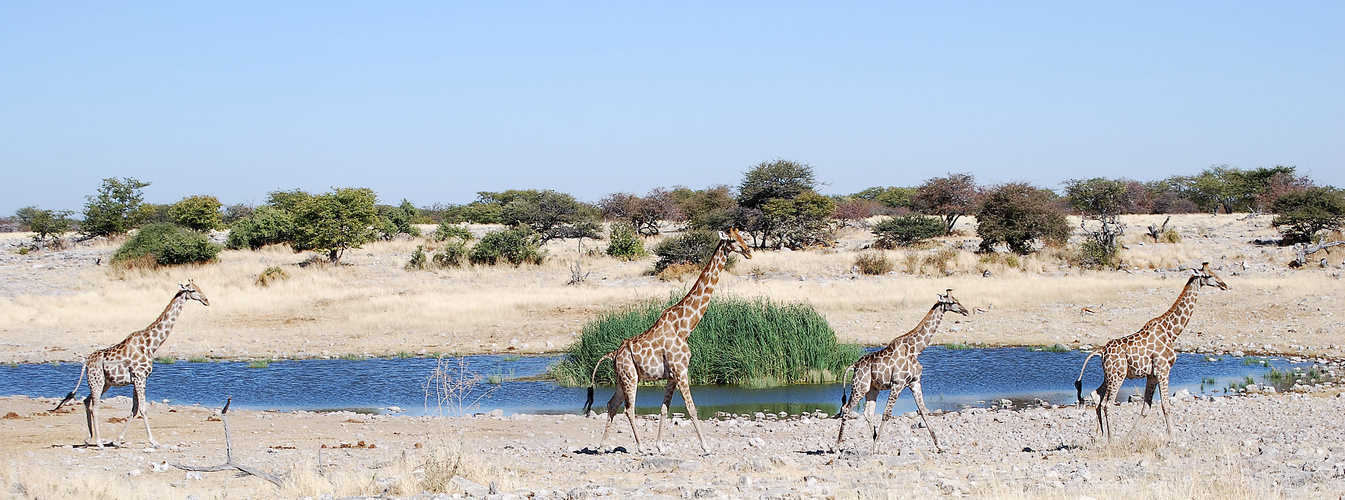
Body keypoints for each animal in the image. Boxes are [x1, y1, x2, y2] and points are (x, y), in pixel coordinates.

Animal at [54, 279, 209, 446]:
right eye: (192, 290)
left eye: (200, 287)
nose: (206, 300)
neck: (151, 344)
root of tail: (86, 363)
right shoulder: (140, 377)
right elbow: (143, 409)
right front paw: (153, 441)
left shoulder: (137, 379)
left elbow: (134, 409)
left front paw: (118, 440)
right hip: (97, 381)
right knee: (94, 407)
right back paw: (99, 442)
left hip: (104, 383)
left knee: (86, 401)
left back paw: (88, 438)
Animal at [581, 229, 753, 454]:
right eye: (733, 240)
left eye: (743, 236)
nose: (749, 251)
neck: (685, 327)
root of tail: (613, 354)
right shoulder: (681, 371)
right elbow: (691, 408)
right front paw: (706, 446)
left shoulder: (672, 376)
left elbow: (664, 409)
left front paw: (660, 445)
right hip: (630, 378)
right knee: (628, 409)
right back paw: (640, 447)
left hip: (622, 378)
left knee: (611, 405)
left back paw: (602, 447)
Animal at [828, 288, 968, 454]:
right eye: (952, 302)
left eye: (958, 300)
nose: (965, 311)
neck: (916, 350)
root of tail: (854, 365)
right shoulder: (898, 383)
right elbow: (887, 414)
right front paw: (876, 447)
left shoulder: (915, 382)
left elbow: (924, 412)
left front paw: (940, 446)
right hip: (859, 387)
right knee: (846, 409)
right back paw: (837, 446)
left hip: (872, 389)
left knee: (868, 412)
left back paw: (874, 444)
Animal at [1076, 262, 1226, 440]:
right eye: (1208, 275)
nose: (1224, 285)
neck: (1171, 331)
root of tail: (1102, 350)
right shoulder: (1163, 370)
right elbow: (1165, 406)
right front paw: (1172, 438)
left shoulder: (1152, 375)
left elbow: (1146, 407)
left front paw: (1129, 436)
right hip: (1117, 376)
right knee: (1107, 403)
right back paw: (1111, 439)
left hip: (1111, 375)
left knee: (1096, 395)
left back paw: (1098, 435)